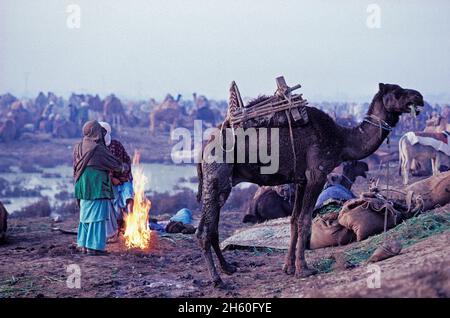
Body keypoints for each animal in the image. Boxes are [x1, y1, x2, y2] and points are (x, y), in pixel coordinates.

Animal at [196, 82, 422, 286]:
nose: (419, 97)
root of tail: (205, 147)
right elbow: (305, 220)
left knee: (210, 227)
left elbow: (294, 220)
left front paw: (288, 268)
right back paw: (217, 280)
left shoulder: (301, 180)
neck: (342, 140)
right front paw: (303, 269)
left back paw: (228, 268)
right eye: (397, 92)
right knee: (205, 230)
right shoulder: (317, 174)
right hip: (218, 177)